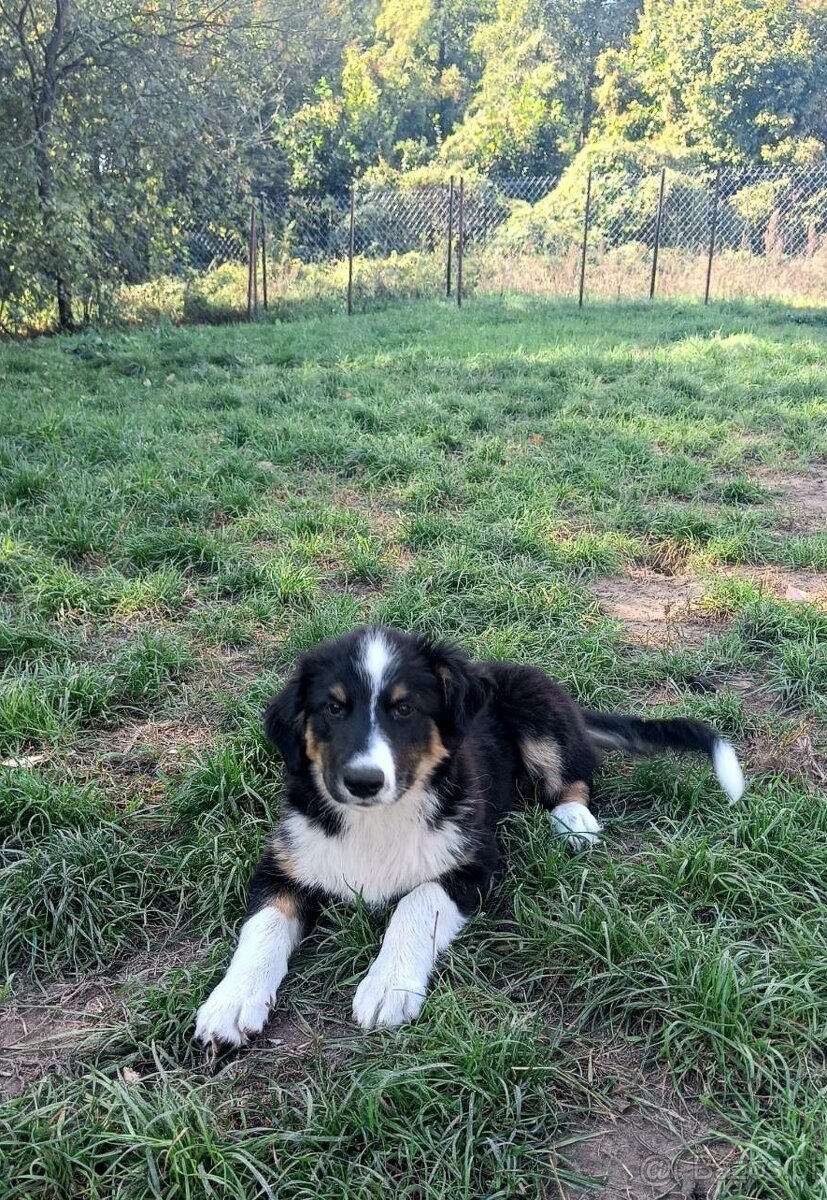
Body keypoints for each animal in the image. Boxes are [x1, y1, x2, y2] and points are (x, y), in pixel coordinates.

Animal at [193, 624, 744, 1046]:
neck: (379, 818)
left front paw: (388, 987)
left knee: (575, 773)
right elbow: (262, 928)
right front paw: (232, 1001)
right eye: (332, 708)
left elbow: (415, 903)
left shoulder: (472, 860)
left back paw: (574, 821)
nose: (363, 781)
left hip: (537, 715)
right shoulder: (283, 865)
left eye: (404, 709)